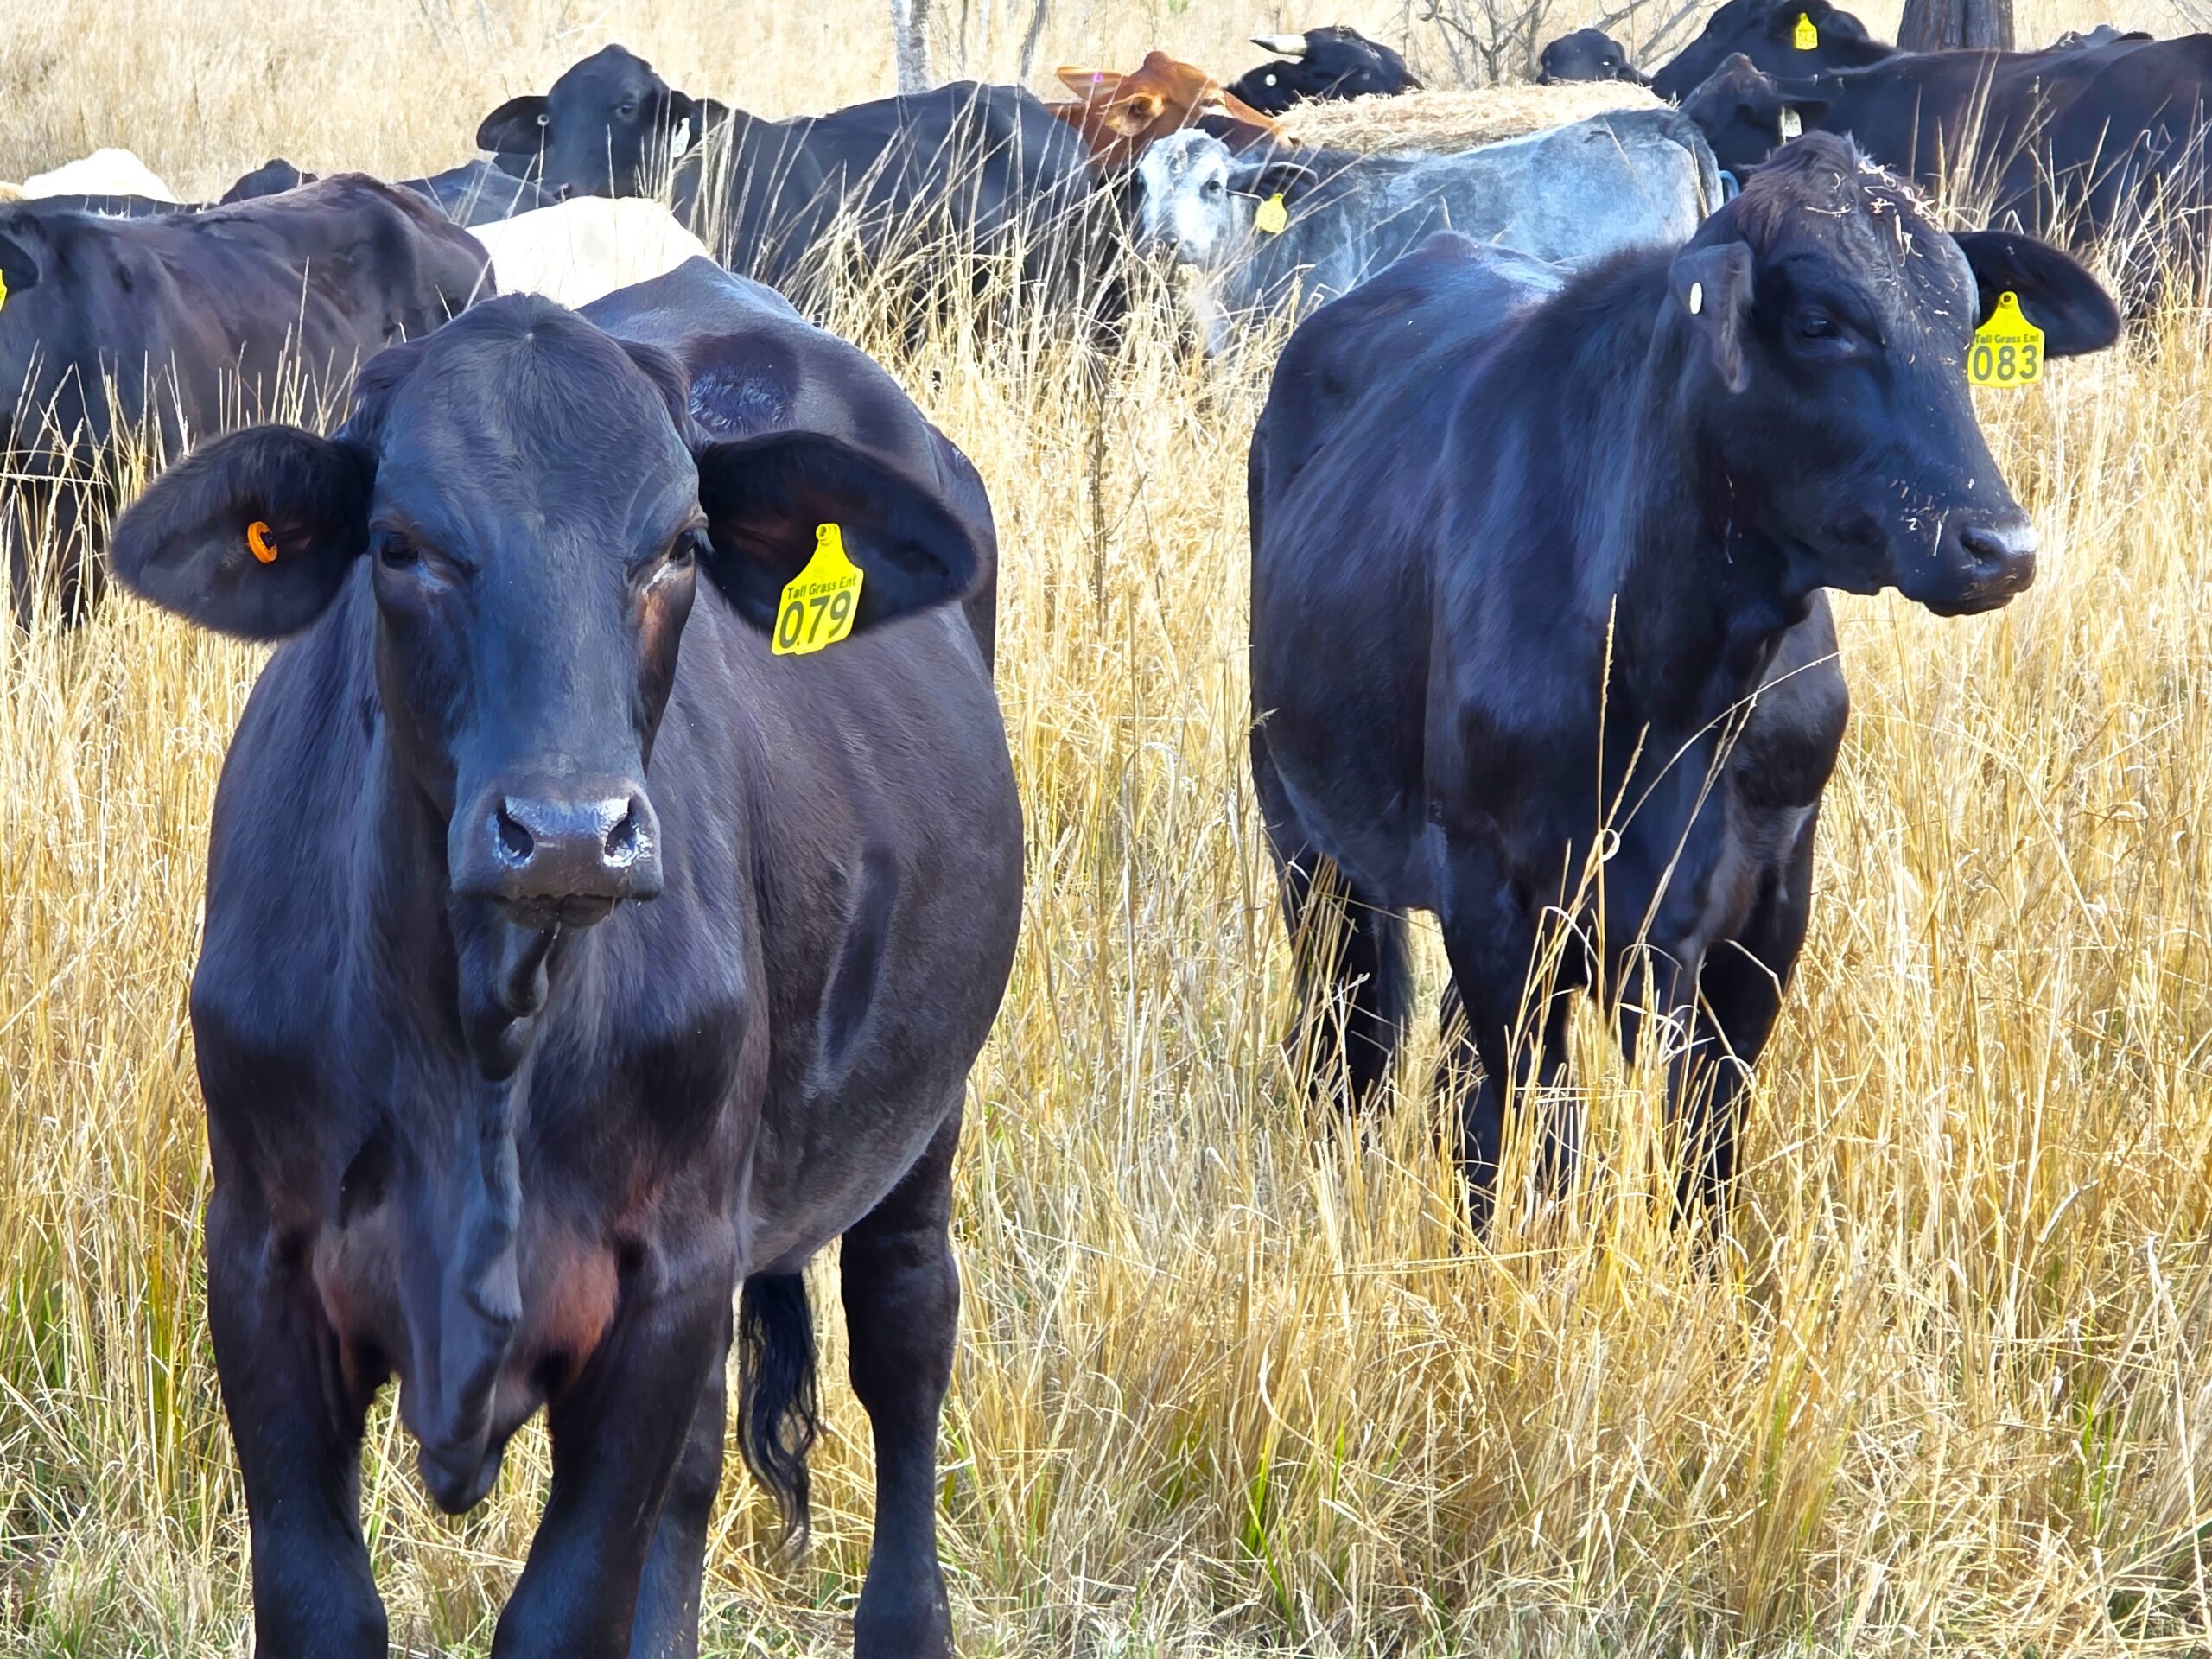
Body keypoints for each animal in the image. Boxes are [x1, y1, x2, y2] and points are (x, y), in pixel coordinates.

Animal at [103, 256, 1022, 1658]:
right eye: (400, 545)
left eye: (679, 547)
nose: (571, 830)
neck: (483, 1030)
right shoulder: (257, 1256)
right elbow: (319, 1601)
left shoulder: (664, 1288)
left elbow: (567, 1605)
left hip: (926, 1113)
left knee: (906, 1334)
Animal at [1246, 134, 2118, 1223]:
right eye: (1819, 323)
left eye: (1962, 324)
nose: (1998, 546)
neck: (1678, 680)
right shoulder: (1492, 887)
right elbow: (1543, 1133)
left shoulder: (1766, 896)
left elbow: (1704, 1147)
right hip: (1301, 825)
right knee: (1351, 1042)